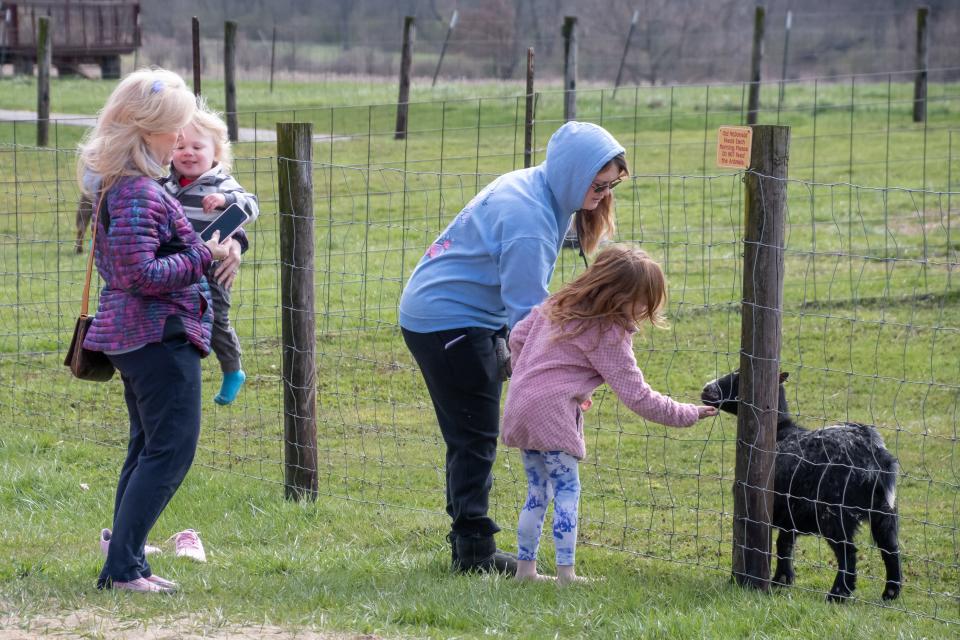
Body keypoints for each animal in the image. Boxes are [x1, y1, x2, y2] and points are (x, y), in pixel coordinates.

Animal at [700, 368, 904, 604]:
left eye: (740, 376)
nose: (706, 390)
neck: (779, 430)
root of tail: (877, 456)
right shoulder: (789, 514)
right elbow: (784, 544)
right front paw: (781, 580)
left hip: (834, 513)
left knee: (848, 552)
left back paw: (837, 594)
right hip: (884, 510)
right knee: (890, 548)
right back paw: (890, 593)